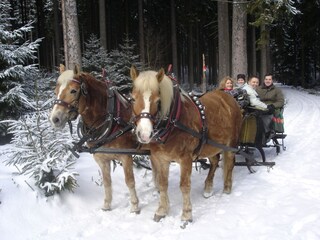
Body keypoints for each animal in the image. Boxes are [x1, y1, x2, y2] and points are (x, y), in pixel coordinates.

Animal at [49, 64, 139, 213]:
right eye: (55, 91)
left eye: (73, 91)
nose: (55, 119)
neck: (110, 119)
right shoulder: (101, 159)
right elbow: (107, 182)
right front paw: (107, 205)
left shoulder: (126, 156)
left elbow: (130, 181)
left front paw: (135, 206)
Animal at [129, 66, 241, 224]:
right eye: (133, 98)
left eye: (158, 101)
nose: (144, 134)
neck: (173, 123)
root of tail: (227, 96)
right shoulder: (160, 158)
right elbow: (162, 184)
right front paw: (162, 210)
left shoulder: (185, 159)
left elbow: (184, 185)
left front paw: (187, 215)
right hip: (211, 146)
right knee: (214, 162)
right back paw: (208, 188)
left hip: (231, 144)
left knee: (230, 163)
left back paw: (227, 187)